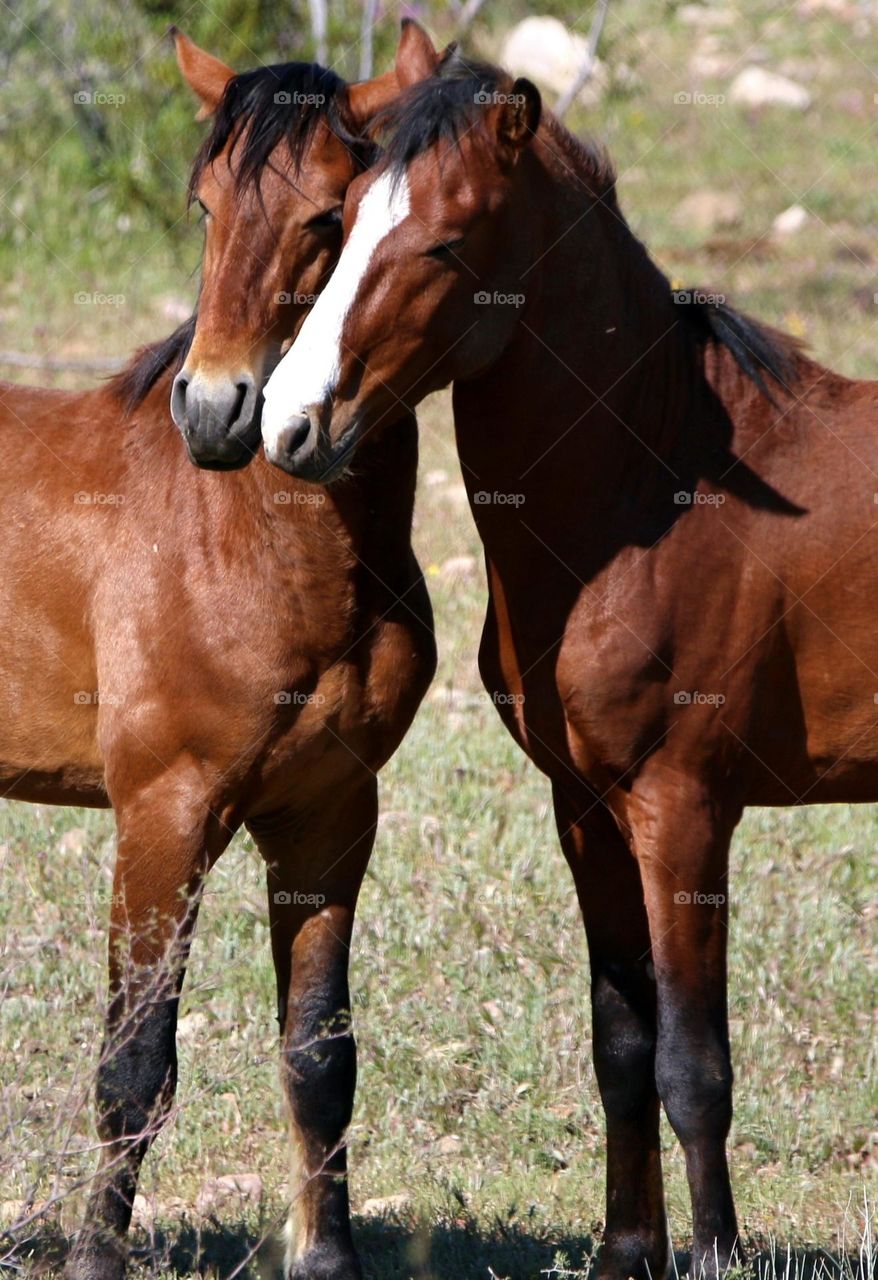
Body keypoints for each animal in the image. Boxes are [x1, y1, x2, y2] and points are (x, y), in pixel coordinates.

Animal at [0, 22, 441, 1280]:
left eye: (329, 217)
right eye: (204, 206)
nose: (214, 410)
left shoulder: (329, 813)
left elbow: (319, 1056)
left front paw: (327, 1255)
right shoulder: (164, 813)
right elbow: (133, 1066)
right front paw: (96, 1258)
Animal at [260, 51, 878, 1280]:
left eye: (446, 243)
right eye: (342, 221)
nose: (289, 425)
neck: (651, 488)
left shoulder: (685, 810)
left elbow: (694, 1065)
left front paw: (715, 1255)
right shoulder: (586, 807)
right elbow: (621, 1044)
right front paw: (627, 1251)